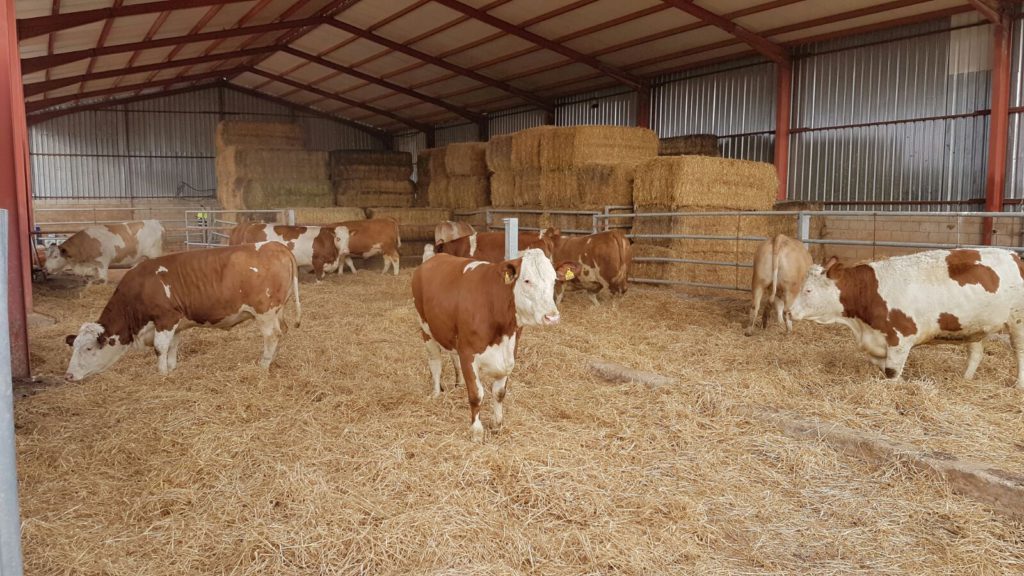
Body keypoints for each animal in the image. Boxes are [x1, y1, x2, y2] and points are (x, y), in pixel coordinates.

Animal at [62, 239, 299, 379]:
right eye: (74, 347)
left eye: (88, 349)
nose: (68, 376)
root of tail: (275, 245)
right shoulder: (174, 323)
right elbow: (173, 346)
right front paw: (172, 368)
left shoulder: (165, 318)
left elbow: (160, 348)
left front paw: (162, 374)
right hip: (278, 309)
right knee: (282, 332)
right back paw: (273, 360)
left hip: (265, 312)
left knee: (272, 335)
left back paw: (263, 365)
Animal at [411, 247, 581, 438]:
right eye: (527, 280)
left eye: (554, 280)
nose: (552, 317)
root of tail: (435, 258)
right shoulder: (468, 354)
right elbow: (476, 394)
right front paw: (477, 431)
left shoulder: (509, 353)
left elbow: (499, 393)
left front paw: (496, 424)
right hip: (426, 329)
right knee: (435, 362)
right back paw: (435, 393)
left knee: (452, 356)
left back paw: (459, 384)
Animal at [790, 248, 1024, 385]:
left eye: (808, 290)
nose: (789, 312)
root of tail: (1014, 255)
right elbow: (881, 365)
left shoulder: (900, 339)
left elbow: (891, 371)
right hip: (975, 325)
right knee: (976, 353)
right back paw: (965, 379)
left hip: (1018, 321)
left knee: (1020, 351)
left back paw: (1018, 385)